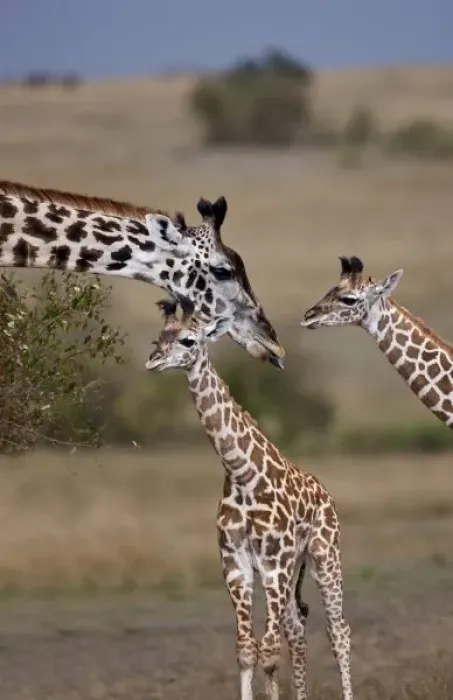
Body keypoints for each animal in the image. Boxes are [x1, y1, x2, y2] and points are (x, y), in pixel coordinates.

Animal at [146, 296, 353, 700]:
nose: (153, 362)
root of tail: (326, 494)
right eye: (158, 338)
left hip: (323, 554)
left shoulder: (274, 562)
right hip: (293, 570)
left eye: (188, 341)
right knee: (297, 631)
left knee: (339, 632)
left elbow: (269, 652)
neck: (242, 474)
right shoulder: (235, 561)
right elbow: (246, 650)